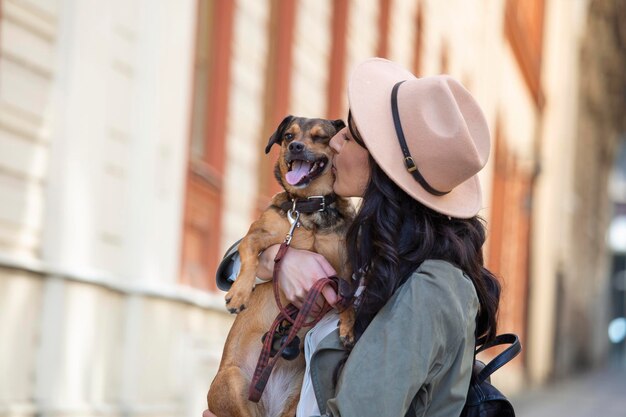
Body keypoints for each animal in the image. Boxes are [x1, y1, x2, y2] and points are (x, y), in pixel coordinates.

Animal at [208, 115, 354, 416]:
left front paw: (348, 326)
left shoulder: (344, 265)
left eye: (320, 137)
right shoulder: (258, 235)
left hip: (295, 399)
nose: (296, 147)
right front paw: (239, 294)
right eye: (288, 136)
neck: (307, 208)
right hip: (233, 381)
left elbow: (348, 295)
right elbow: (249, 255)